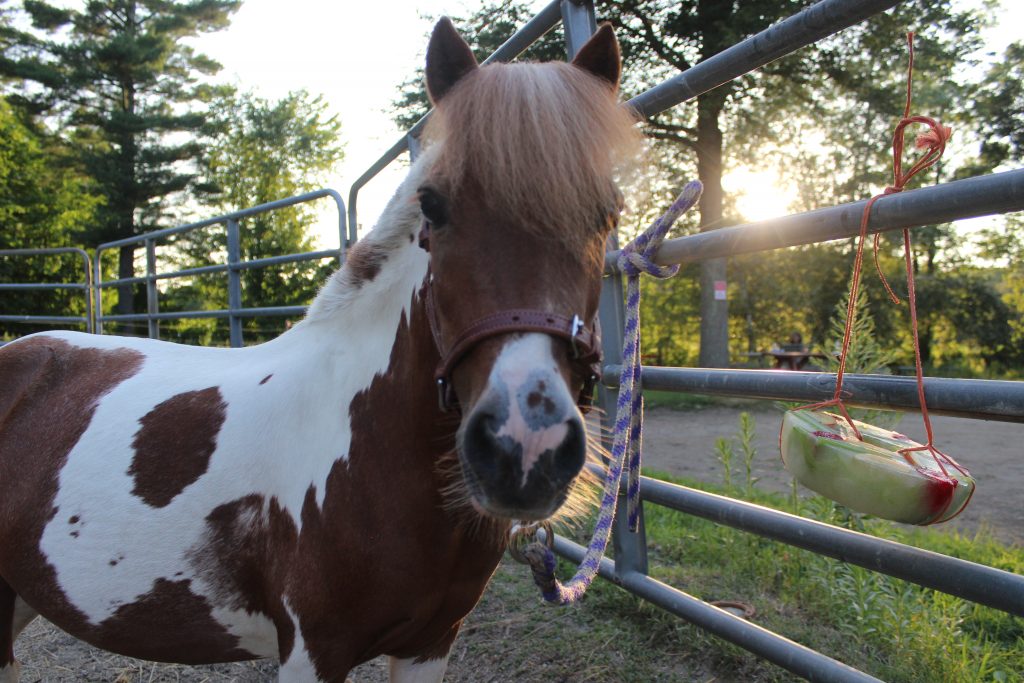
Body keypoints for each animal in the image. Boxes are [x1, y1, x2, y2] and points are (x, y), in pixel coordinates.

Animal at [0, 18, 638, 679]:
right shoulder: (312, 649)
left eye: (607, 211)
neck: (368, 436)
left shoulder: (431, 642)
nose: (524, 448)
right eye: (433, 205)